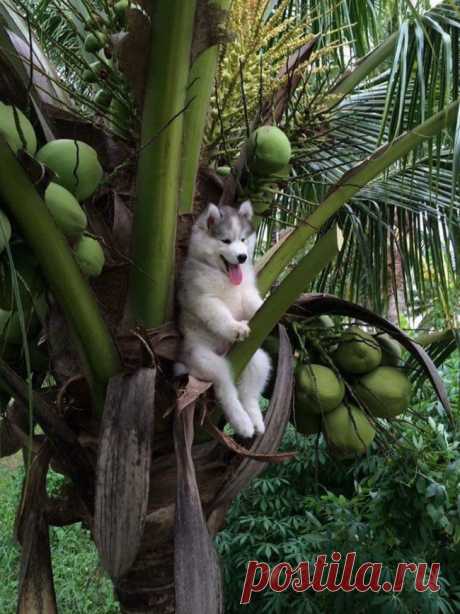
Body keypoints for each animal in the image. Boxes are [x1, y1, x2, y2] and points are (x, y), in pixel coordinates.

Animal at [175, 201, 270, 438]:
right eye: (226, 240)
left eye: (243, 240)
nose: (242, 257)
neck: (223, 276)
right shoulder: (205, 299)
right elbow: (220, 315)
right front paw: (236, 327)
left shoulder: (246, 294)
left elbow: (254, 304)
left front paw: (266, 305)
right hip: (205, 360)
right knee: (226, 389)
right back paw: (242, 422)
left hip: (257, 359)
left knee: (250, 392)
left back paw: (255, 420)